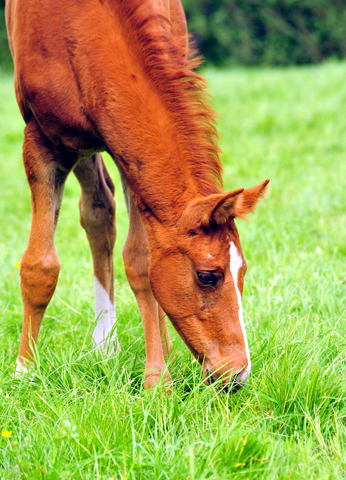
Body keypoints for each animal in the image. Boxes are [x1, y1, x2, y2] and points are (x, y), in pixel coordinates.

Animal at [6, 0, 270, 392]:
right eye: (208, 276)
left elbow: (141, 262)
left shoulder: (127, 154)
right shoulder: (41, 142)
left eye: (244, 270)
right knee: (97, 210)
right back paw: (104, 343)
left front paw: (157, 377)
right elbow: (40, 266)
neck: (81, 26)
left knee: (104, 213)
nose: (237, 374)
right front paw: (23, 372)